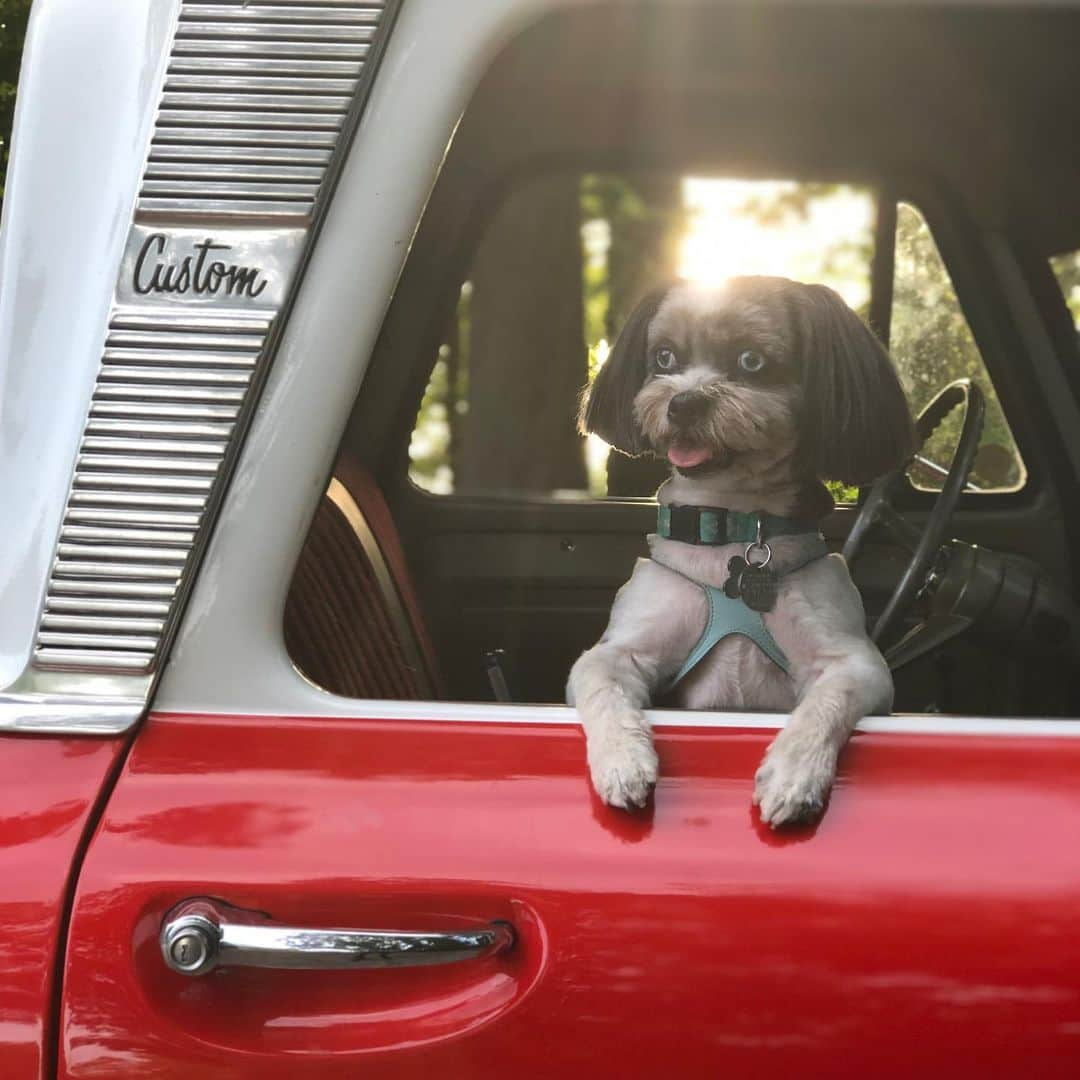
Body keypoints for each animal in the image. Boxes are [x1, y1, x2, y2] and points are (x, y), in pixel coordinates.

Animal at [570, 278, 915, 825]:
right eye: (664, 357)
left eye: (751, 361)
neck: (729, 526)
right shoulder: (617, 652)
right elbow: (601, 685)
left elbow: (828, 701)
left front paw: (794, 774)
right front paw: (622, 762)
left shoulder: (855, 663)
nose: (684, 402)